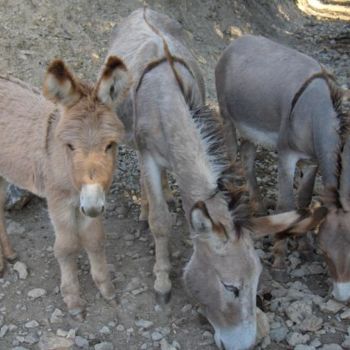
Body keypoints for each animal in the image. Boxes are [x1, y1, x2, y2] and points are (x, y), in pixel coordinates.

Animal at [0, 56, 129, 314]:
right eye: (69, 146)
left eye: (110, 145)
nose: (91, 207)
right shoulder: (58, 199)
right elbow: (66, 247)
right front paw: (73, 299)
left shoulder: (90, 199)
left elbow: (95, 240)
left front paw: (106, 289)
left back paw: (8, 255)